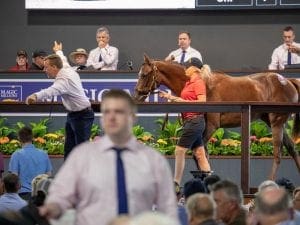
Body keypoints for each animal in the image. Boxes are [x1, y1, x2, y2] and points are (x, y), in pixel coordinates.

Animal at [134, 54, 300, 179]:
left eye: (144, 74)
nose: (136, 96)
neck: (204, 84)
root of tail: (287, 81)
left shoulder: (211, 126)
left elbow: (200, 155)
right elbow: (203, 155)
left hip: (277, 121)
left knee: (278, 154)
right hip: (274, 121)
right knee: (292, 148)